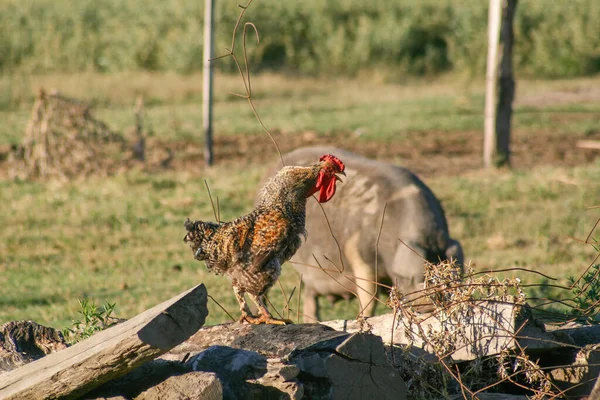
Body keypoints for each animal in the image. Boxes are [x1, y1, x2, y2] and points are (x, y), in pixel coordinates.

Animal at [258, 147, 464, 322]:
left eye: (451, 280)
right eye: (412, 279)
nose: (429, 307)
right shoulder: (359, 257)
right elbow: (369, 299)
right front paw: (362, 320)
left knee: (310, 298)